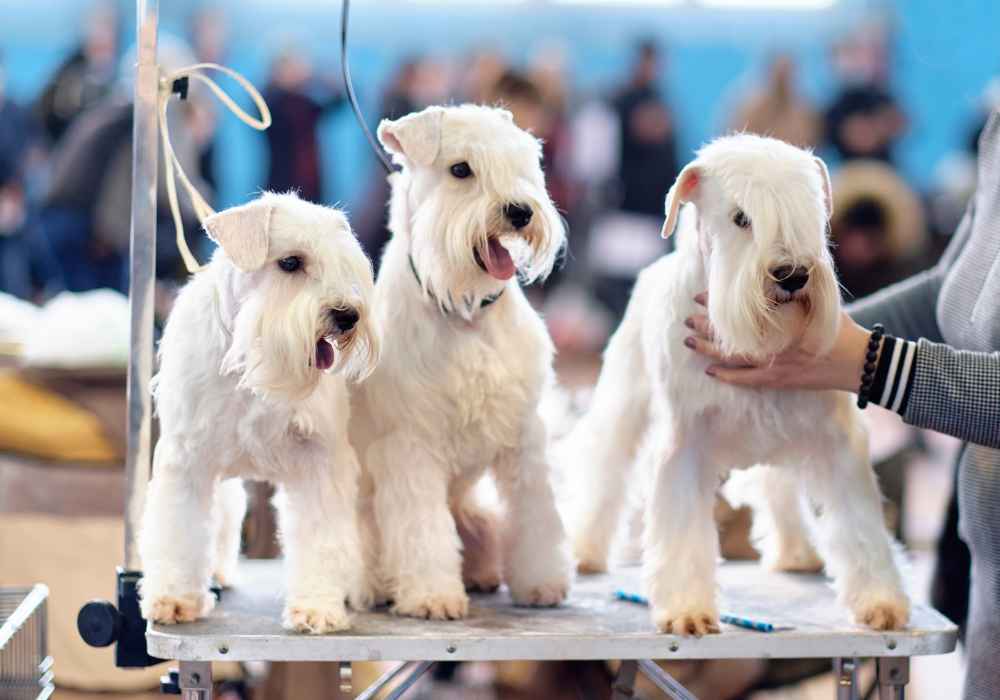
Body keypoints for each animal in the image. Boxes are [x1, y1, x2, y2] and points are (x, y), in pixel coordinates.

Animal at [137, 191, 378, 636]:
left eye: (343, 261)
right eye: (290, 262)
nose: (347, 315)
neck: (249, 359)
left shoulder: (319, 461)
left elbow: (323, 538)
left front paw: (317, 607)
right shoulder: (187, 459)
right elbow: (180, 530)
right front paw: (175, 598)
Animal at [350, 104, 572, 616]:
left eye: (522, 161)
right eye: (460, 169)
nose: (519, 211)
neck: (467, 312)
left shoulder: (523, 435)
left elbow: (535, 513)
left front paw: (542, 583)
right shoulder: (410, 445)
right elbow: (423, 531)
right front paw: (433, 595)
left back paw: (482, 573)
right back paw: (375, 586)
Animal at [568, 135, 912, 636]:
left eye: (808, 211)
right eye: (741, 218)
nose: (792, 274)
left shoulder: (836, 441)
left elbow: (860, 525)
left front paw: (880, 600)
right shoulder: (685, 446)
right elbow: (683, 533)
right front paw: (687, 610)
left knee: (780, 491)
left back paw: (796, 553)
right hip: (623, 406)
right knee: (605, 472)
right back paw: (584, 551)